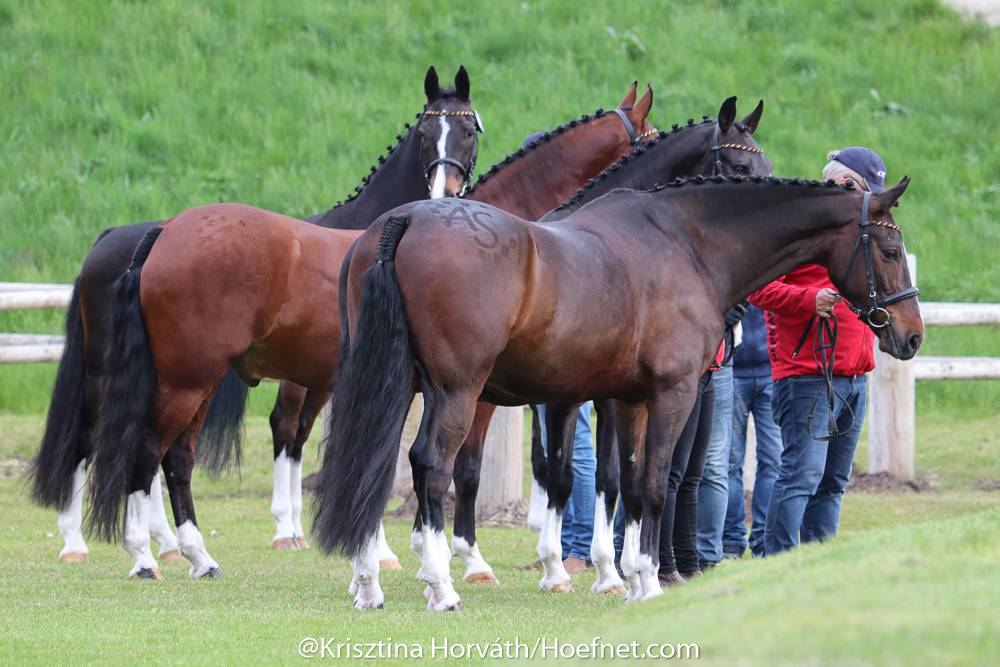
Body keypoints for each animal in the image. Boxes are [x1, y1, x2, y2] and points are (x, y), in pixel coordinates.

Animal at [75, 84, 657, 581]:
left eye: (469, 130)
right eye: (427, 130)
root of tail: (161, 233)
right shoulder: (474, 393)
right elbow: (458, 469)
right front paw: (460, 559)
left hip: (195, 379)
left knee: (173, 458)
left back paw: (193, 554)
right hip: (185, 378)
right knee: (140, 450)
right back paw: (143, 555)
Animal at [318, 175, 924, 611]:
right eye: (891, 248)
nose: (912, 335)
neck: (686, 245)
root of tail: (404, 219)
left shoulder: (628, 400)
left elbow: (627, 486)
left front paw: (629, 577)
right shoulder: (672, 395)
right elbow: (653, 485)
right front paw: (648, 582)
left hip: (394, 385)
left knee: (368, 462)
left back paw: (367, 582)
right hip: (456, 391)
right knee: (431, 465)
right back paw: (442, 586)